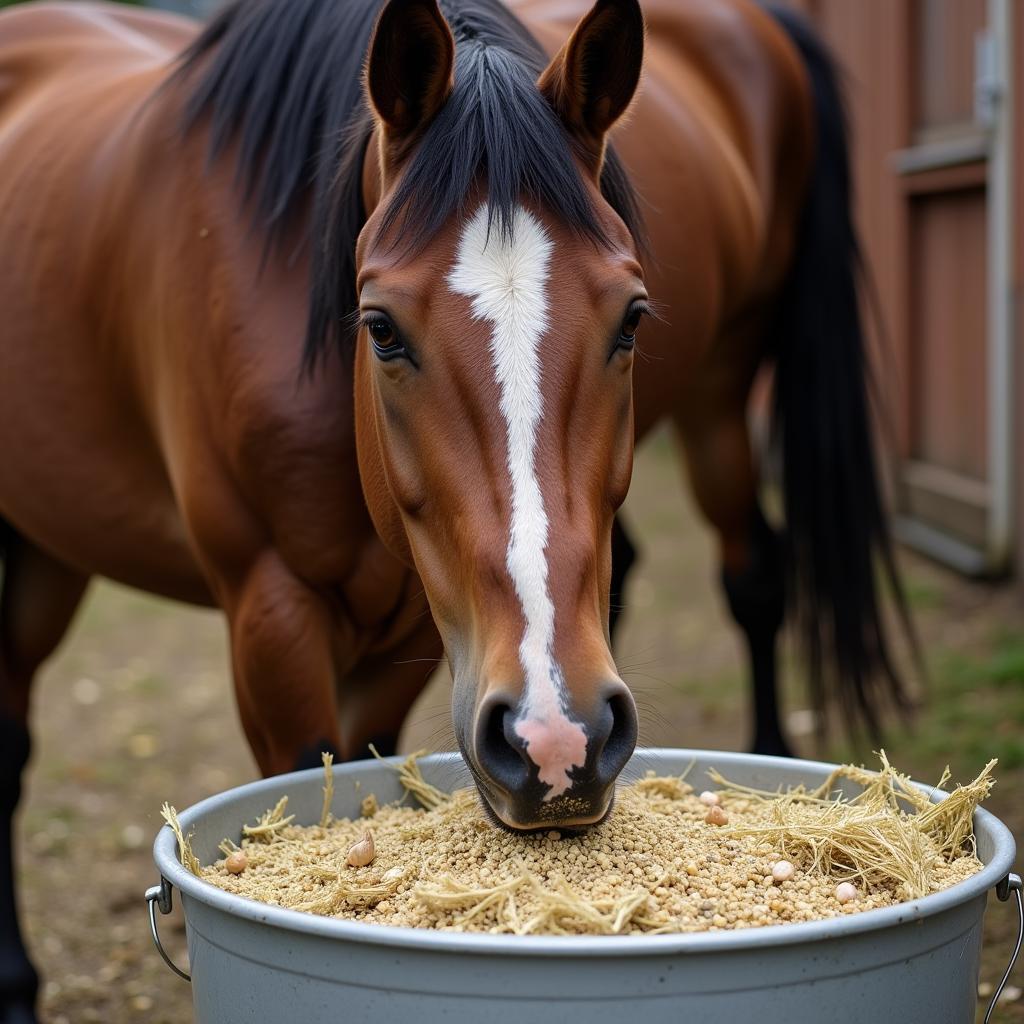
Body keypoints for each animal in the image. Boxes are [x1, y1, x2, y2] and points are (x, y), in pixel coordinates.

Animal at [2, 0, 913, 1015]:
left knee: (752, 574)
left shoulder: (410, 619)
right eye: (381, 329)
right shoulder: (272, 612)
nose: (560, 739)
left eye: (633, 317)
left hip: (725, 389)